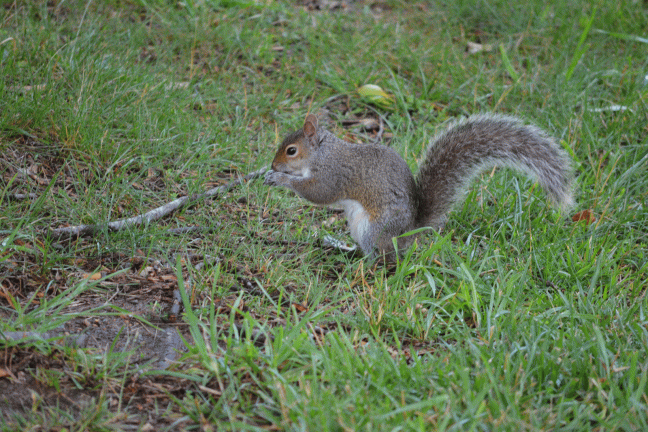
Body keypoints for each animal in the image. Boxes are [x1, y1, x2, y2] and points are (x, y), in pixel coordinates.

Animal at [264, 113, 574, 257]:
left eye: (291, 151)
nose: (273, 166)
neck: (322, 153)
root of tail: (409, 234)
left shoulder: (334, 174)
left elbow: (318, 193)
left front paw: (281, 180)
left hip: (374, 228)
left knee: (381, 257)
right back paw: (343, 248)